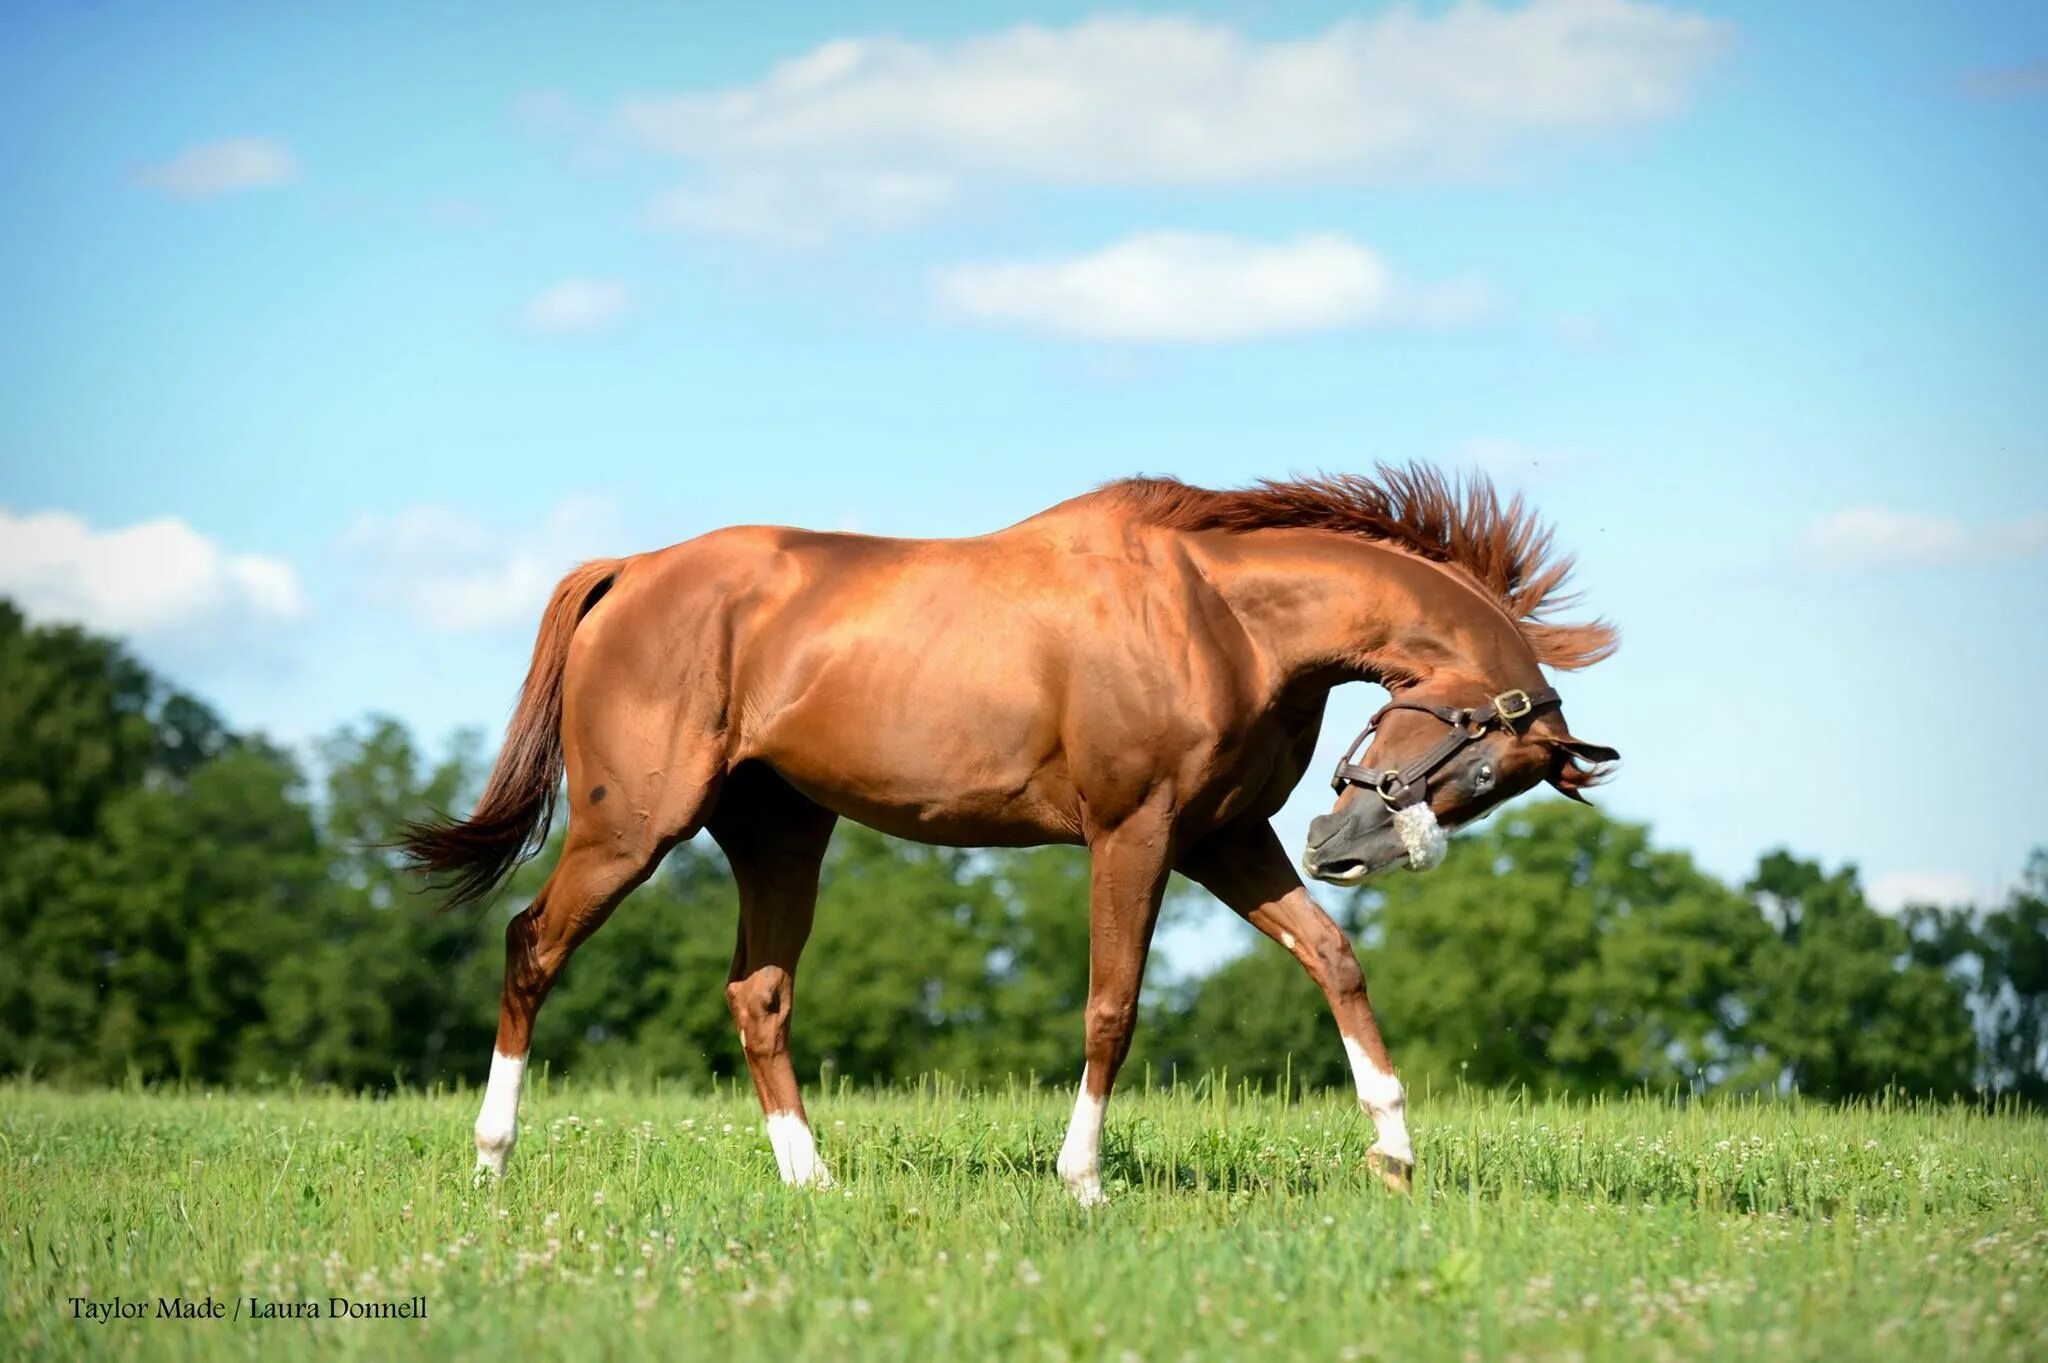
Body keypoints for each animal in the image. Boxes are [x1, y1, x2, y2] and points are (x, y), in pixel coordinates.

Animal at [399, 466, 1613, 1203]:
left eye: (1493, 782)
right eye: (1478, 752)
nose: (1342, 843)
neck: (1224, 615)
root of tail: (629, 571)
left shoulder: (1224, 838)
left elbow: (1334, 960)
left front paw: (1393, 1151)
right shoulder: (1136, 833)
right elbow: (1112, 1007)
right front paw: (1083, 1179)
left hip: (782, 837)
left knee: (758, 994)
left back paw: (813, 1180)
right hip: (632, 829)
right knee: (531, 946)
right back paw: (491, 1160)